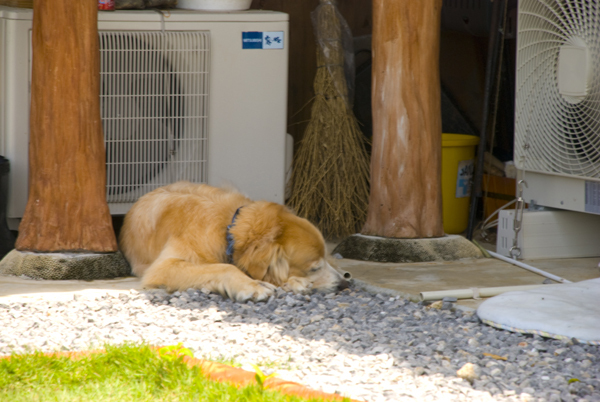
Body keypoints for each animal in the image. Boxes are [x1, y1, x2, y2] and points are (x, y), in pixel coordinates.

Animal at [119, 182, 350, 302]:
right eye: (314, 268)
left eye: (320, 264)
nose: (344, 284)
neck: (229, 228)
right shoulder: (163, 267)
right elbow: (225, 267)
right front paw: (253, 285)